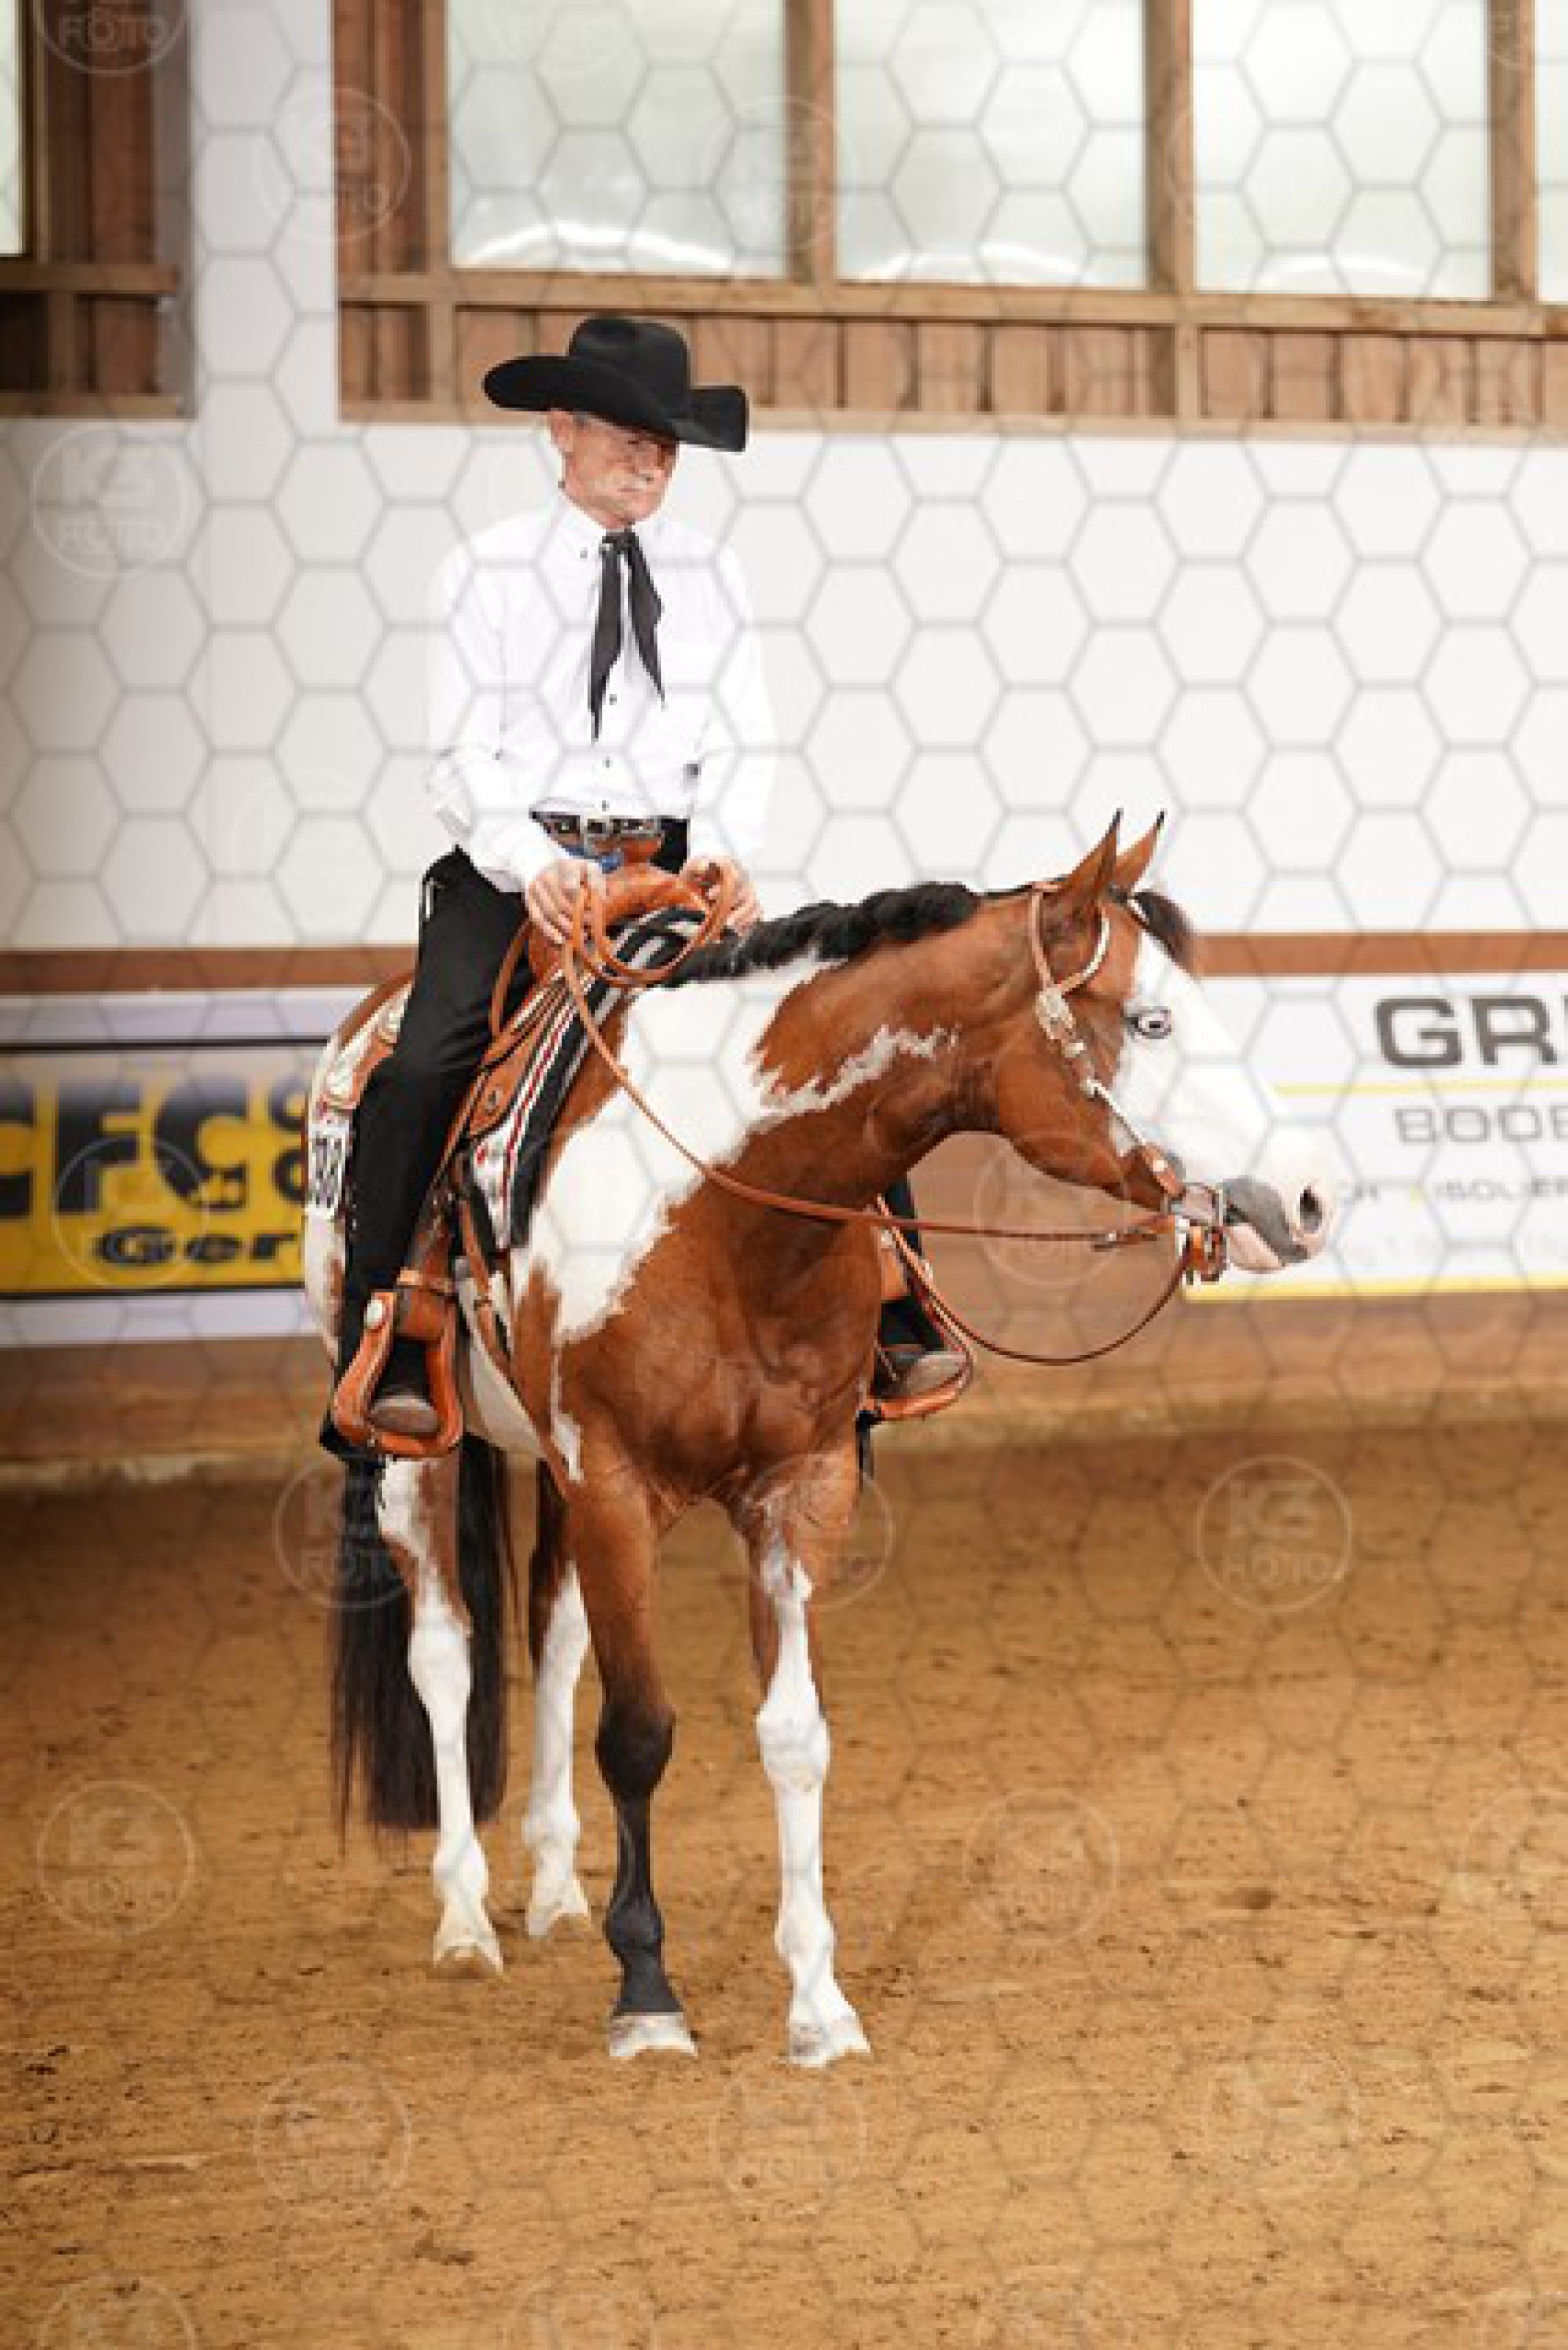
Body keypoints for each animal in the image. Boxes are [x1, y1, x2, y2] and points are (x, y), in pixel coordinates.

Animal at [302, 817, 1338, 2067]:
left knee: (552, 1635)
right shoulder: (615, 1479)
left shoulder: (801, 1482)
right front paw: (648, 1994)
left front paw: (818, 2002)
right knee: (444, 1652)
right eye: (1149, 1022)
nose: (1307, 1199)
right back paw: (463, 1918)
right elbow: (638, 1734)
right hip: (411, 1450)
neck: (722, 1199)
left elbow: (793, 1735)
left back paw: (550, 1889)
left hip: (550, 1469)